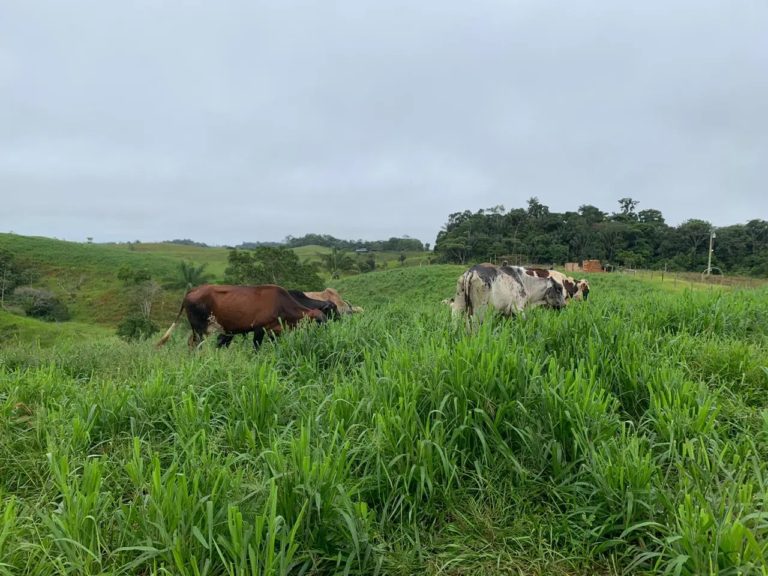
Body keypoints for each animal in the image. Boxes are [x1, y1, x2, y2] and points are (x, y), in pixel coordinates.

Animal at [154, 284, 326, 352]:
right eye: (319, 321)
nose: (325, 336)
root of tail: (191, 291)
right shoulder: (259, 329)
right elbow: (256, 348)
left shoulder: (274, 331)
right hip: (199, 328)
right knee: (196, 344)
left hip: (200, 329)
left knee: (191, 343)